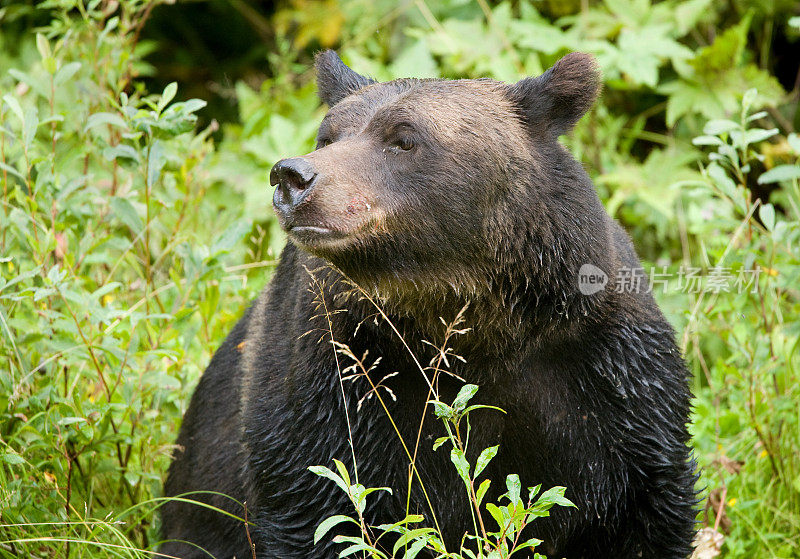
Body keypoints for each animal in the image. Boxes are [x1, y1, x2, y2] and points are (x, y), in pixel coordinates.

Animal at [159, 52, 696, 559]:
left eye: (403, 138)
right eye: (327, 134)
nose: (293, 176)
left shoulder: (603, 382)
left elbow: (641, 508)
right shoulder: (334, 377)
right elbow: (321, 506)